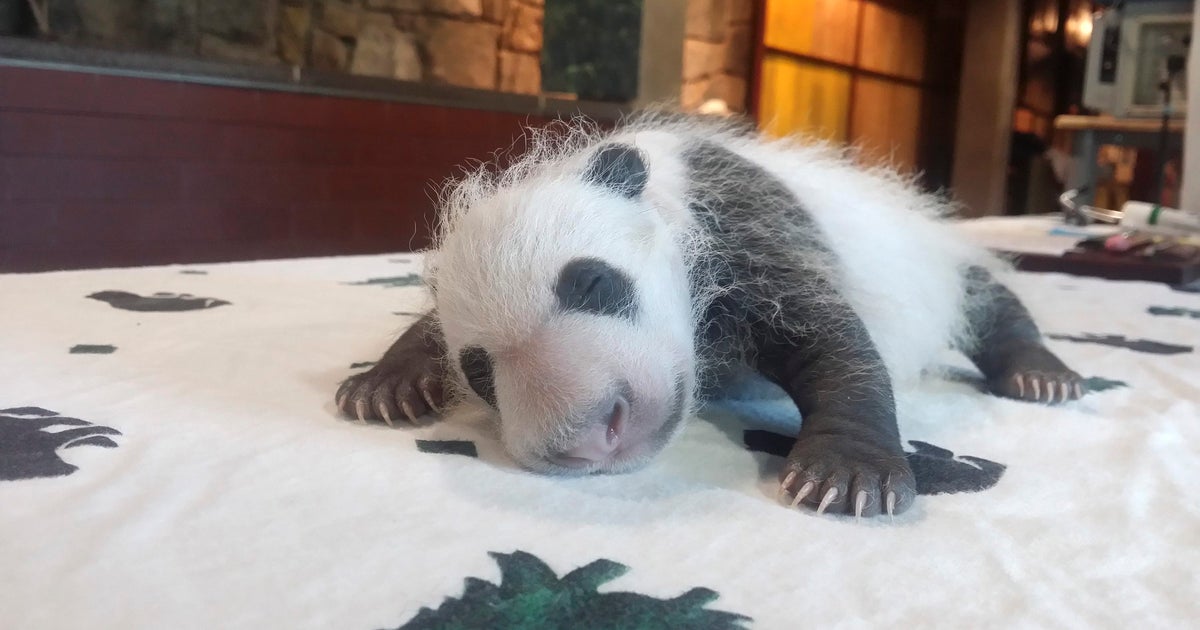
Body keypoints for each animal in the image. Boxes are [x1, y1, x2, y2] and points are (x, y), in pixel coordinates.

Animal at [335, 111, 1085, 520]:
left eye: (593, 283)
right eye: (480, 373)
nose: (590, 434)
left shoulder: (744, 225)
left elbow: (832, 338)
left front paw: (846, 474)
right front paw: (385, 384)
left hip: (933, 259)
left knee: (988, 298)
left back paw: (1040, 373)